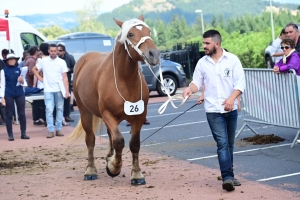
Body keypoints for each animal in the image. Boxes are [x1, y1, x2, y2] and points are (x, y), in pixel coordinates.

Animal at [68, 14, 162, 186]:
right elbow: (119, 140)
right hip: (85, 112)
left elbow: (134, 144)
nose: (154, 54)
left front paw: (136, 174)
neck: (123, 79)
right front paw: (113, 167)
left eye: (149, 31)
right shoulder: (107, 114)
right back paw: (90, 170)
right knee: (90, 140)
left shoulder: (139, 115)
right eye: (130, 34)